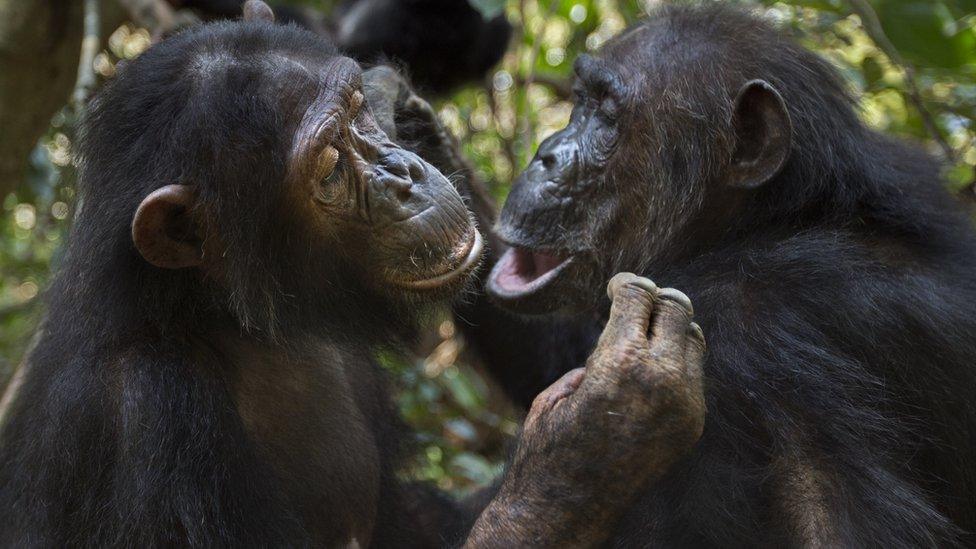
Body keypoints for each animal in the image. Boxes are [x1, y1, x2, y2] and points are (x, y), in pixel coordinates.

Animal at [0, 2, 704, 544]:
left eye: (362, 107)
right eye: (333, 166)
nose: (404, 173)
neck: (230, 322)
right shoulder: (149, 416)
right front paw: (599, 434)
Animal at [392, 2, 976, 544]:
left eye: (606, 114)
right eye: (579, 101)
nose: (546, 154)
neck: (763, 225)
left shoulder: (761, 337)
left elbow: (831, 522)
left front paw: (590, 442)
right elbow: (562, 351)